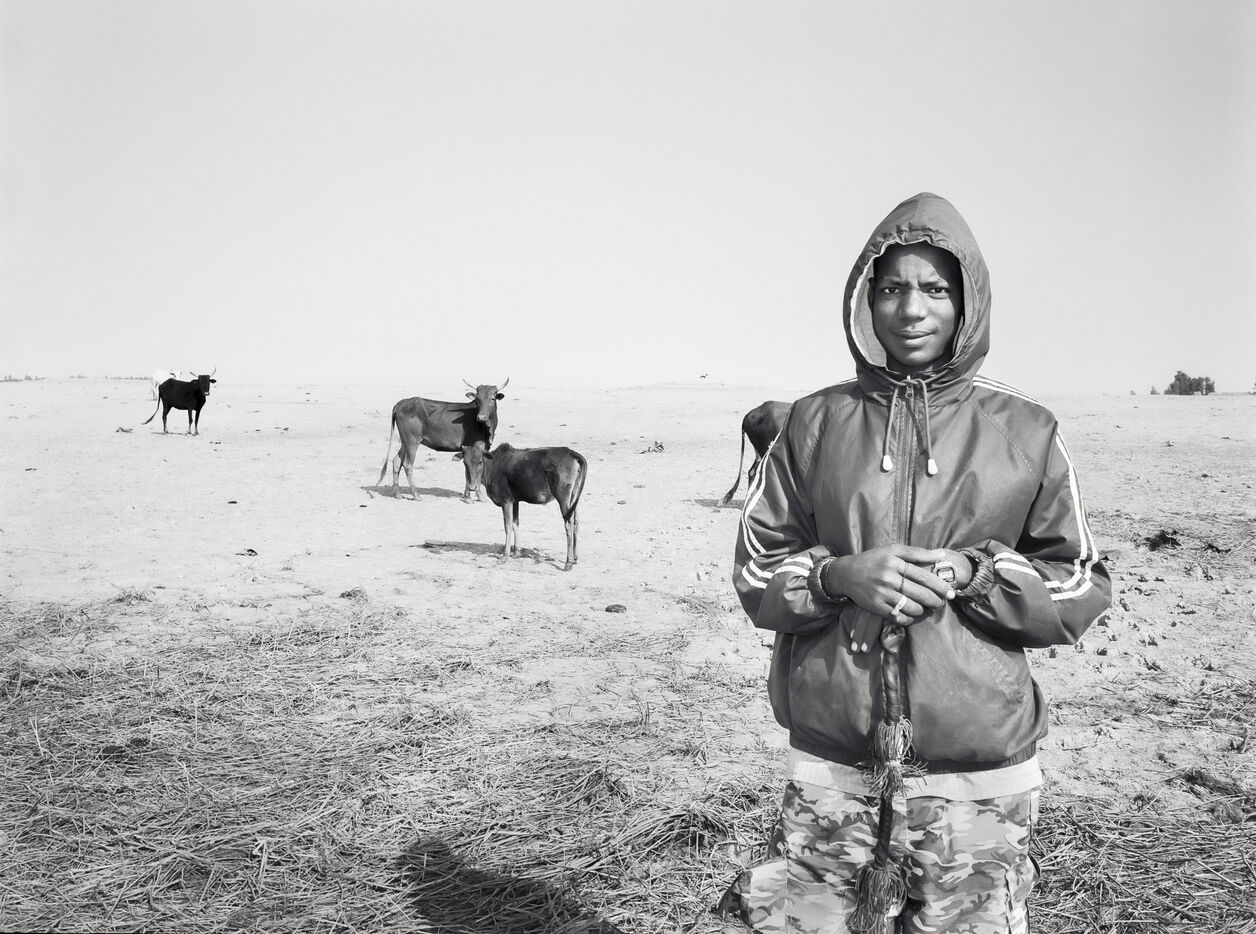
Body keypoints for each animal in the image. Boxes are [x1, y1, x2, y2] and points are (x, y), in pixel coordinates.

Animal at [377, 379, 508, 503]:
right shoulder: (470, 448)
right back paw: (416, 495)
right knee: (408, 464)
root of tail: (402, 403)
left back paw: (398, 494)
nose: (481, 417)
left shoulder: (483, 449)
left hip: (404, 441)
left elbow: (480, 468)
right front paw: (468, 497)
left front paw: (480, 496)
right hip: (412, 442)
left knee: (396, 461)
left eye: (492, 399)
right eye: (478, 400)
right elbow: (469, 469)